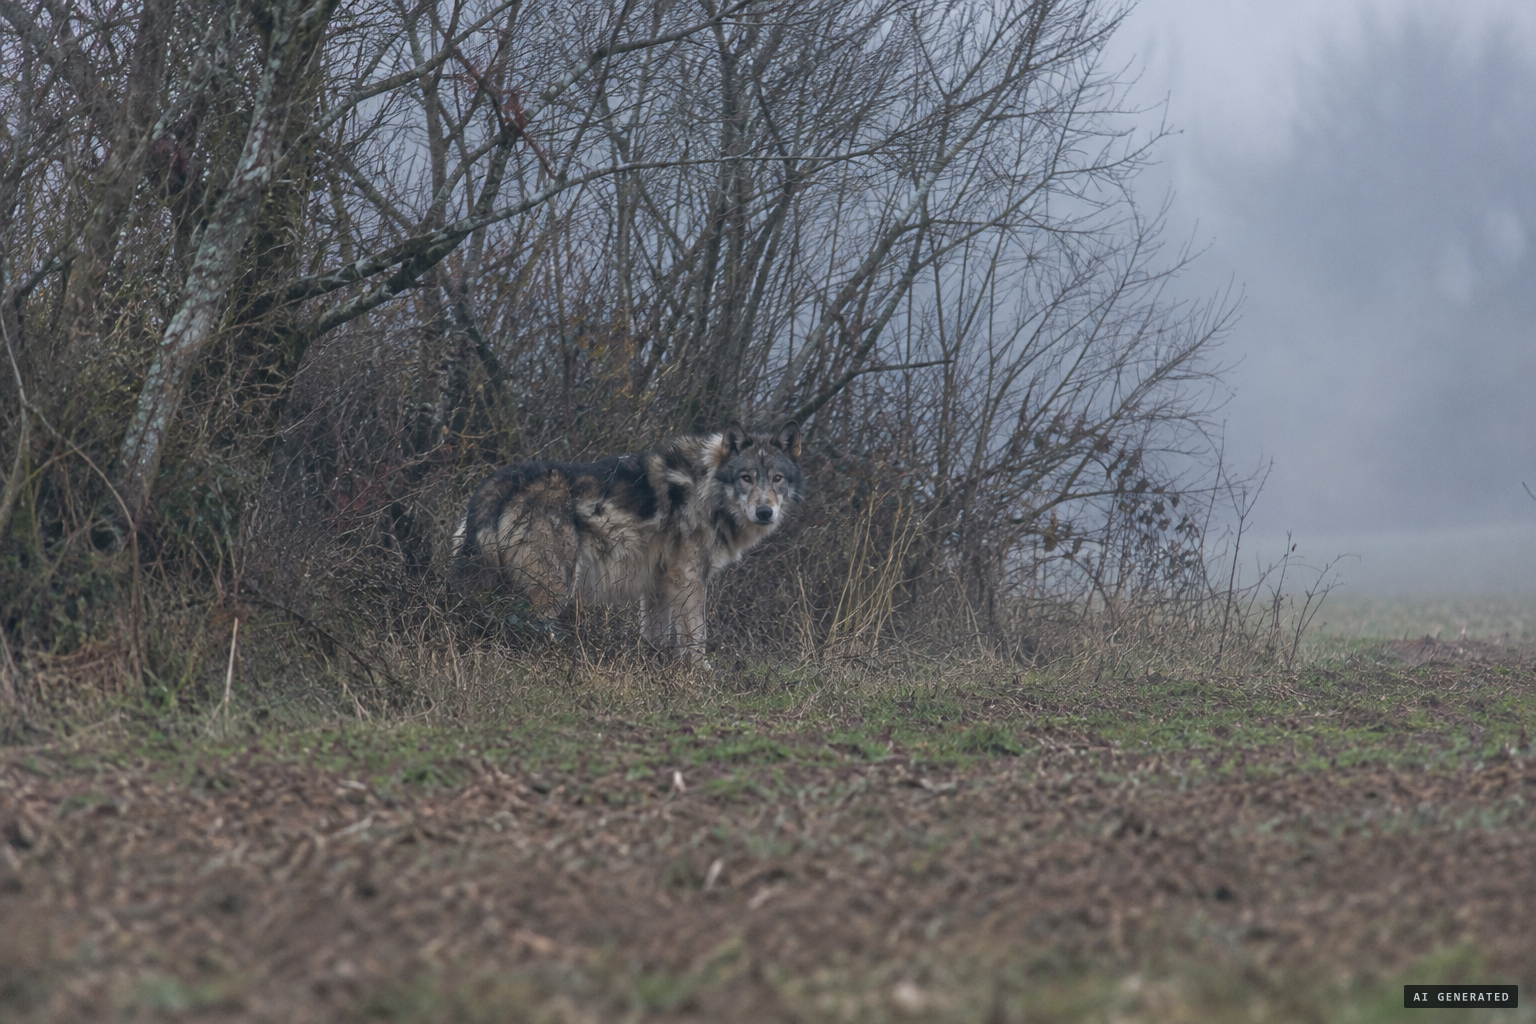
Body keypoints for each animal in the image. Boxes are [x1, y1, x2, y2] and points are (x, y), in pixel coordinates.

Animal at [450, 422, 803, 664]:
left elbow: (657, 637)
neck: (706, 488)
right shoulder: (689, 578)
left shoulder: (659, 584)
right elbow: (696, 637)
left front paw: (657, 666)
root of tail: (493, 489)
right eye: (746, 478)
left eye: (777, 479)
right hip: (554, 590)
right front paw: (700, 674)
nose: (765, 512)